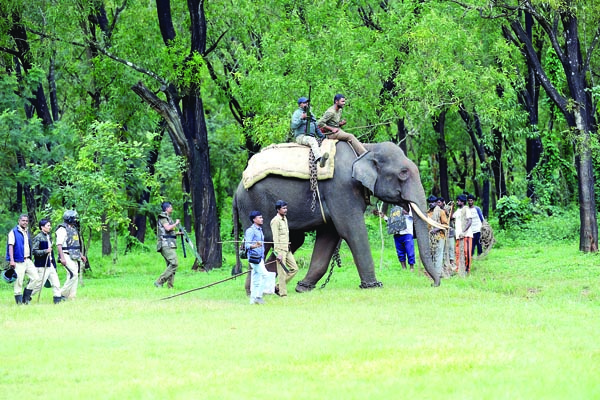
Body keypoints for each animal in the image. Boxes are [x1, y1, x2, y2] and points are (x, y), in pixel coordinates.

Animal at [233, 141, 440, 290]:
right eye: (403, 173)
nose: (433, 284)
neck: (366, 148)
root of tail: (236, 192)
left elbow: (330, 235)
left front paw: (303, 288)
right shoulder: (341, 188)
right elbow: (351, 230)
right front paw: (374, 286)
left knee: (293, 240)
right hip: (256, 204)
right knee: (266, 240)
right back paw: (253, 290)